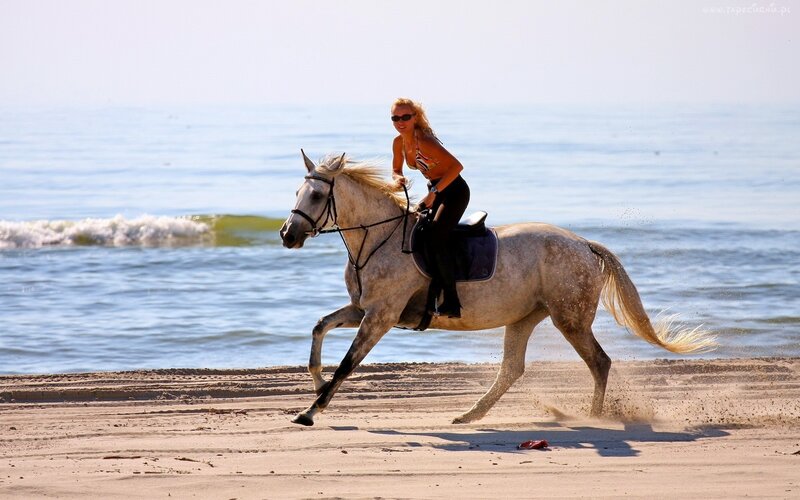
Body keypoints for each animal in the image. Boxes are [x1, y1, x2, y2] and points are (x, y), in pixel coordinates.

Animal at [279, 151, 715, 426]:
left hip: (569, 319)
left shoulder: (381, 316)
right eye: (296, 193)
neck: (378, 239)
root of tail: (584, 245)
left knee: (599, 362)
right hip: (525, 317)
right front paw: (315, 383)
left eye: (316, 194)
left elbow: (347, 364)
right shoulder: (363, 309)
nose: (287, 235)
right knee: (512, 369)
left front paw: (310, 412)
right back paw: (470, 415)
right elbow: (320, 327)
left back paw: (594, 418)